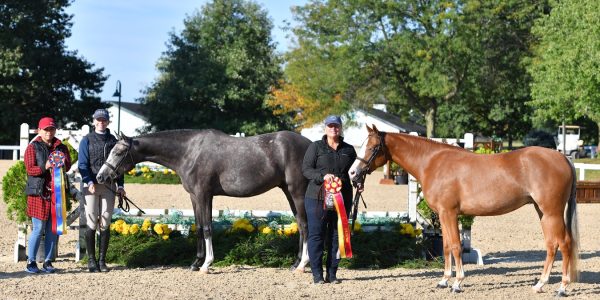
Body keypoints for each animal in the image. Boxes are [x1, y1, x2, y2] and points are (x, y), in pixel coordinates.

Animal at [350, 124, 580, 296]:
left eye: (372, 147)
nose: (353, 173)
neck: (432, 162)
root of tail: (563, 158)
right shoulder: (442, 215)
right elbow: (445, 247)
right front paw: (444, 280)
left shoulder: (449, 213)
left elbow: (455, 246)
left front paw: (457, 283)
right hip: (543, 212)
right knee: (552, 245)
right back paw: (540, 284)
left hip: (552, 212)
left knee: (564, 244)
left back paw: (562, 288)